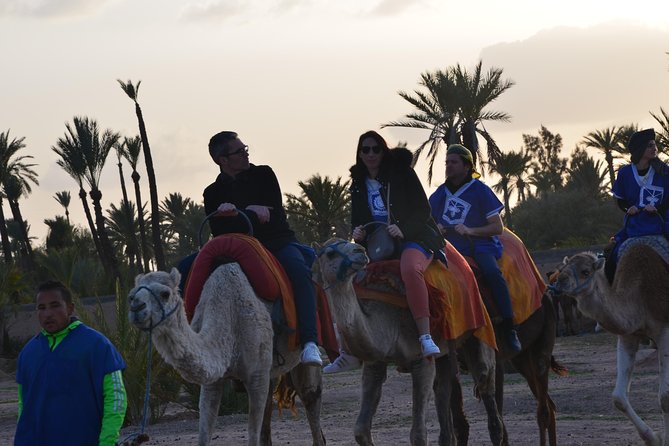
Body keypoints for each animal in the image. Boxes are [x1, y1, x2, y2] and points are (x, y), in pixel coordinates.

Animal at [127, 266, 325, 446]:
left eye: (165, 294)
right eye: (131, 295)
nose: (136, 306)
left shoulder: (257, 376)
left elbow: (252, 436)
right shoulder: (213, 381)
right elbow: (204, 435)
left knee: (310, 397)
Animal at [314, 239, 504, 446]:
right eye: (330, 253)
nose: (360, 250)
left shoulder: (421, 360)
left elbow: (418, 434)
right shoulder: (375, 362)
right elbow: (360, 430)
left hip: (479, 329)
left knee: (486, 386)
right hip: (446, 352)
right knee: (444, 392)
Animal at [555, 244, 669, 446]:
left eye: (585, 271)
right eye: (562, 269)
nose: (560, 281)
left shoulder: (664, 329)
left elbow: (665, 398)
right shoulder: (628, 336)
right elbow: (619, 398)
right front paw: (654, 438)